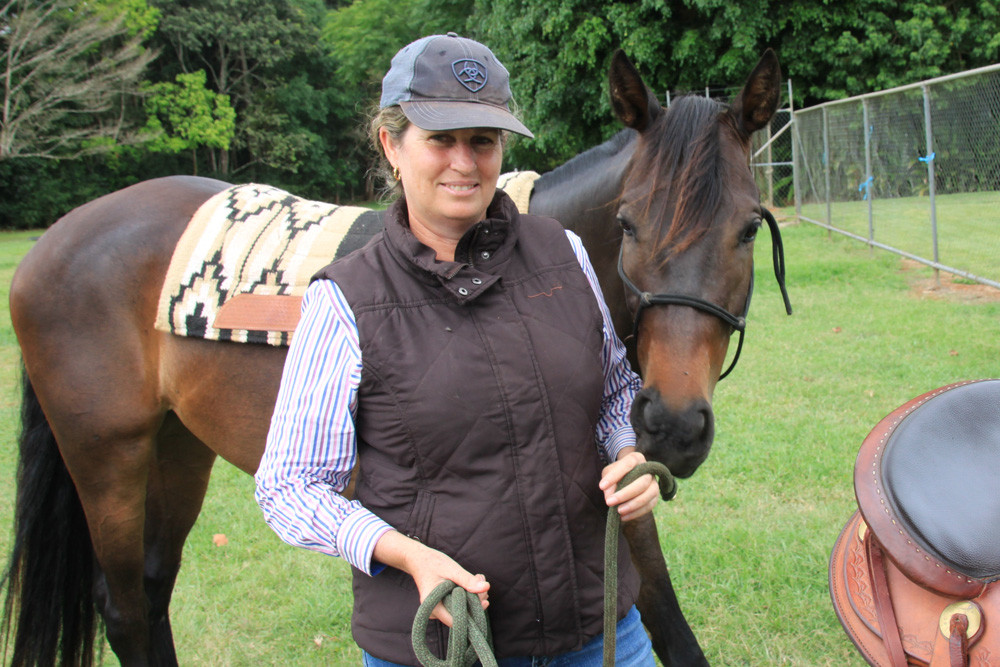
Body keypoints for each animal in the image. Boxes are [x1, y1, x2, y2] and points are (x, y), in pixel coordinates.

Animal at [1, 49, 788, 664]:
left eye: (749, 229)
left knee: (153, 586)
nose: (673, 425)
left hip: (177, 447)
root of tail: (55, 241)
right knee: (124, 605)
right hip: (107, 456)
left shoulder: (618, 480)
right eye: (627, 223)